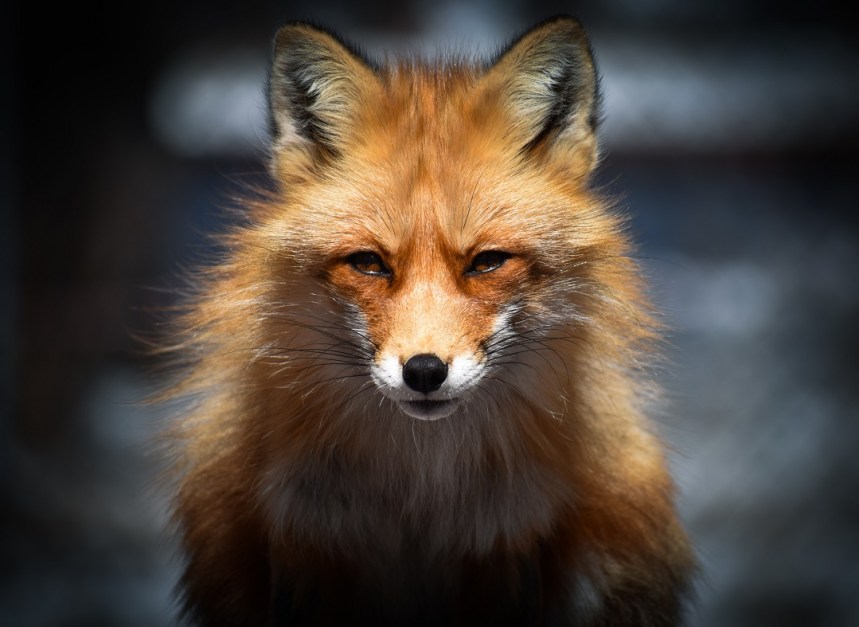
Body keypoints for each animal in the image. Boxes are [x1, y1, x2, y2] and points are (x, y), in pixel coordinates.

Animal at [162, 15, 695, 627]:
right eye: (369, 263)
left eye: (486, 262)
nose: (423, 372)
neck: (422, 497)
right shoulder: (307, 540)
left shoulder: (508, 543)